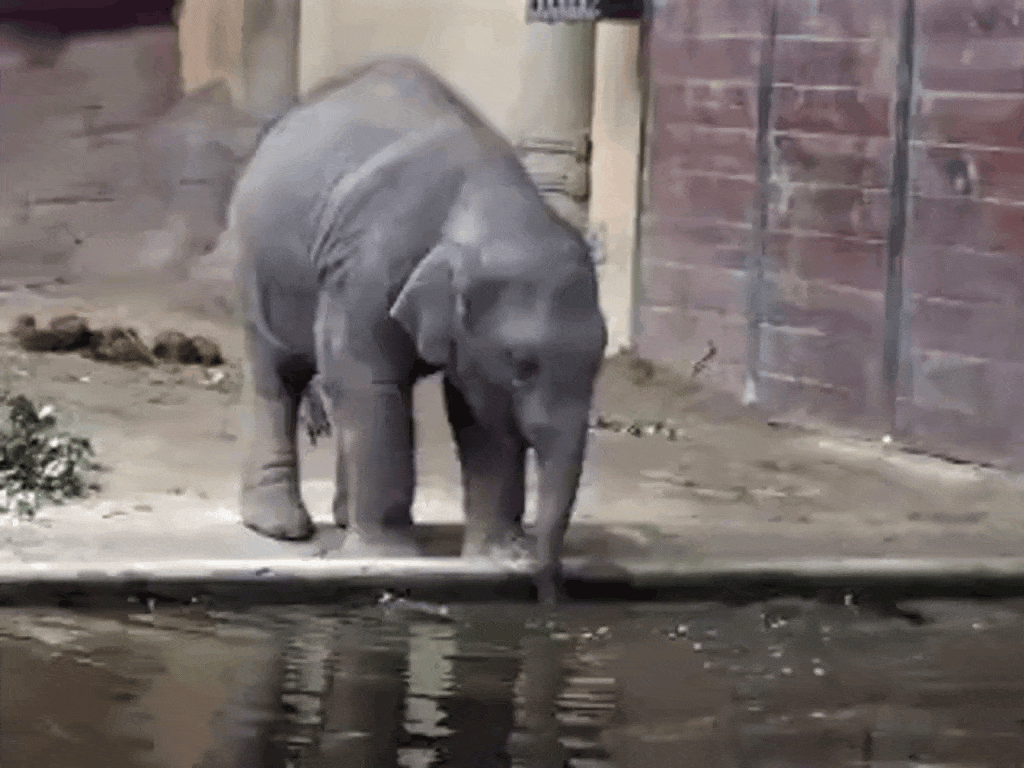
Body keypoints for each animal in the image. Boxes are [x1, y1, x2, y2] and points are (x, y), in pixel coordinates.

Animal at [231, 57, 607, 601]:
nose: (548, 592)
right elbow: (368, 381)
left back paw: (343, 519)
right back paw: (281, 527)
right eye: (522, 366)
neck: (485, 203)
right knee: (278, 373)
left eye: (601, 359)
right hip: (257, 264)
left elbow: (478, 415)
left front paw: (497, 556)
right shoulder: (366, 268)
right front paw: (386, 557)